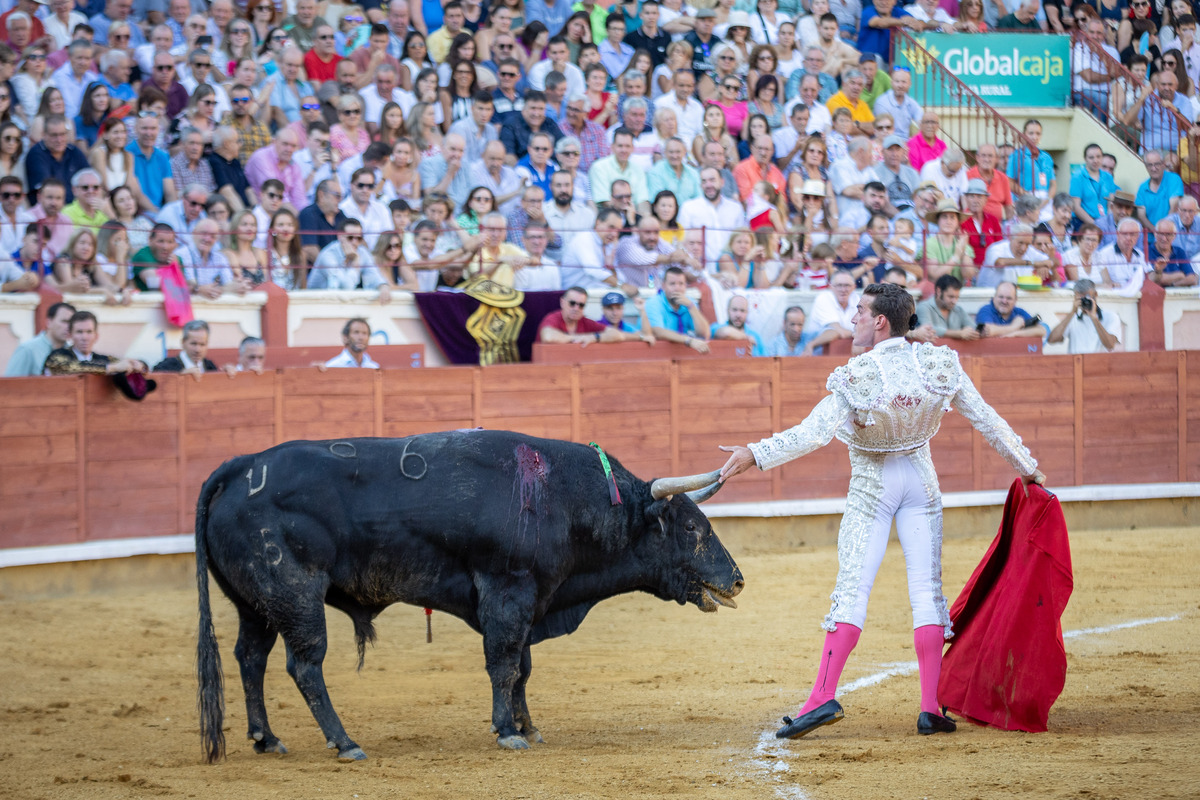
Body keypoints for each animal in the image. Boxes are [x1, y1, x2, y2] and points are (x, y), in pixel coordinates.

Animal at [195, 431, 739, 762]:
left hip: (256, 605)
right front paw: (508, 731)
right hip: (295, 594)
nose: (736, 580)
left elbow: (522, 668)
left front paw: (527, 725)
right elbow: (504, 663)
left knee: (250, 658)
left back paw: (267, 739)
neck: (561, 497)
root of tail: (242, 466)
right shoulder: (508, 592)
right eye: (691, 527)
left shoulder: (531, 601)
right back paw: (345, 742)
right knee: (305, 666)